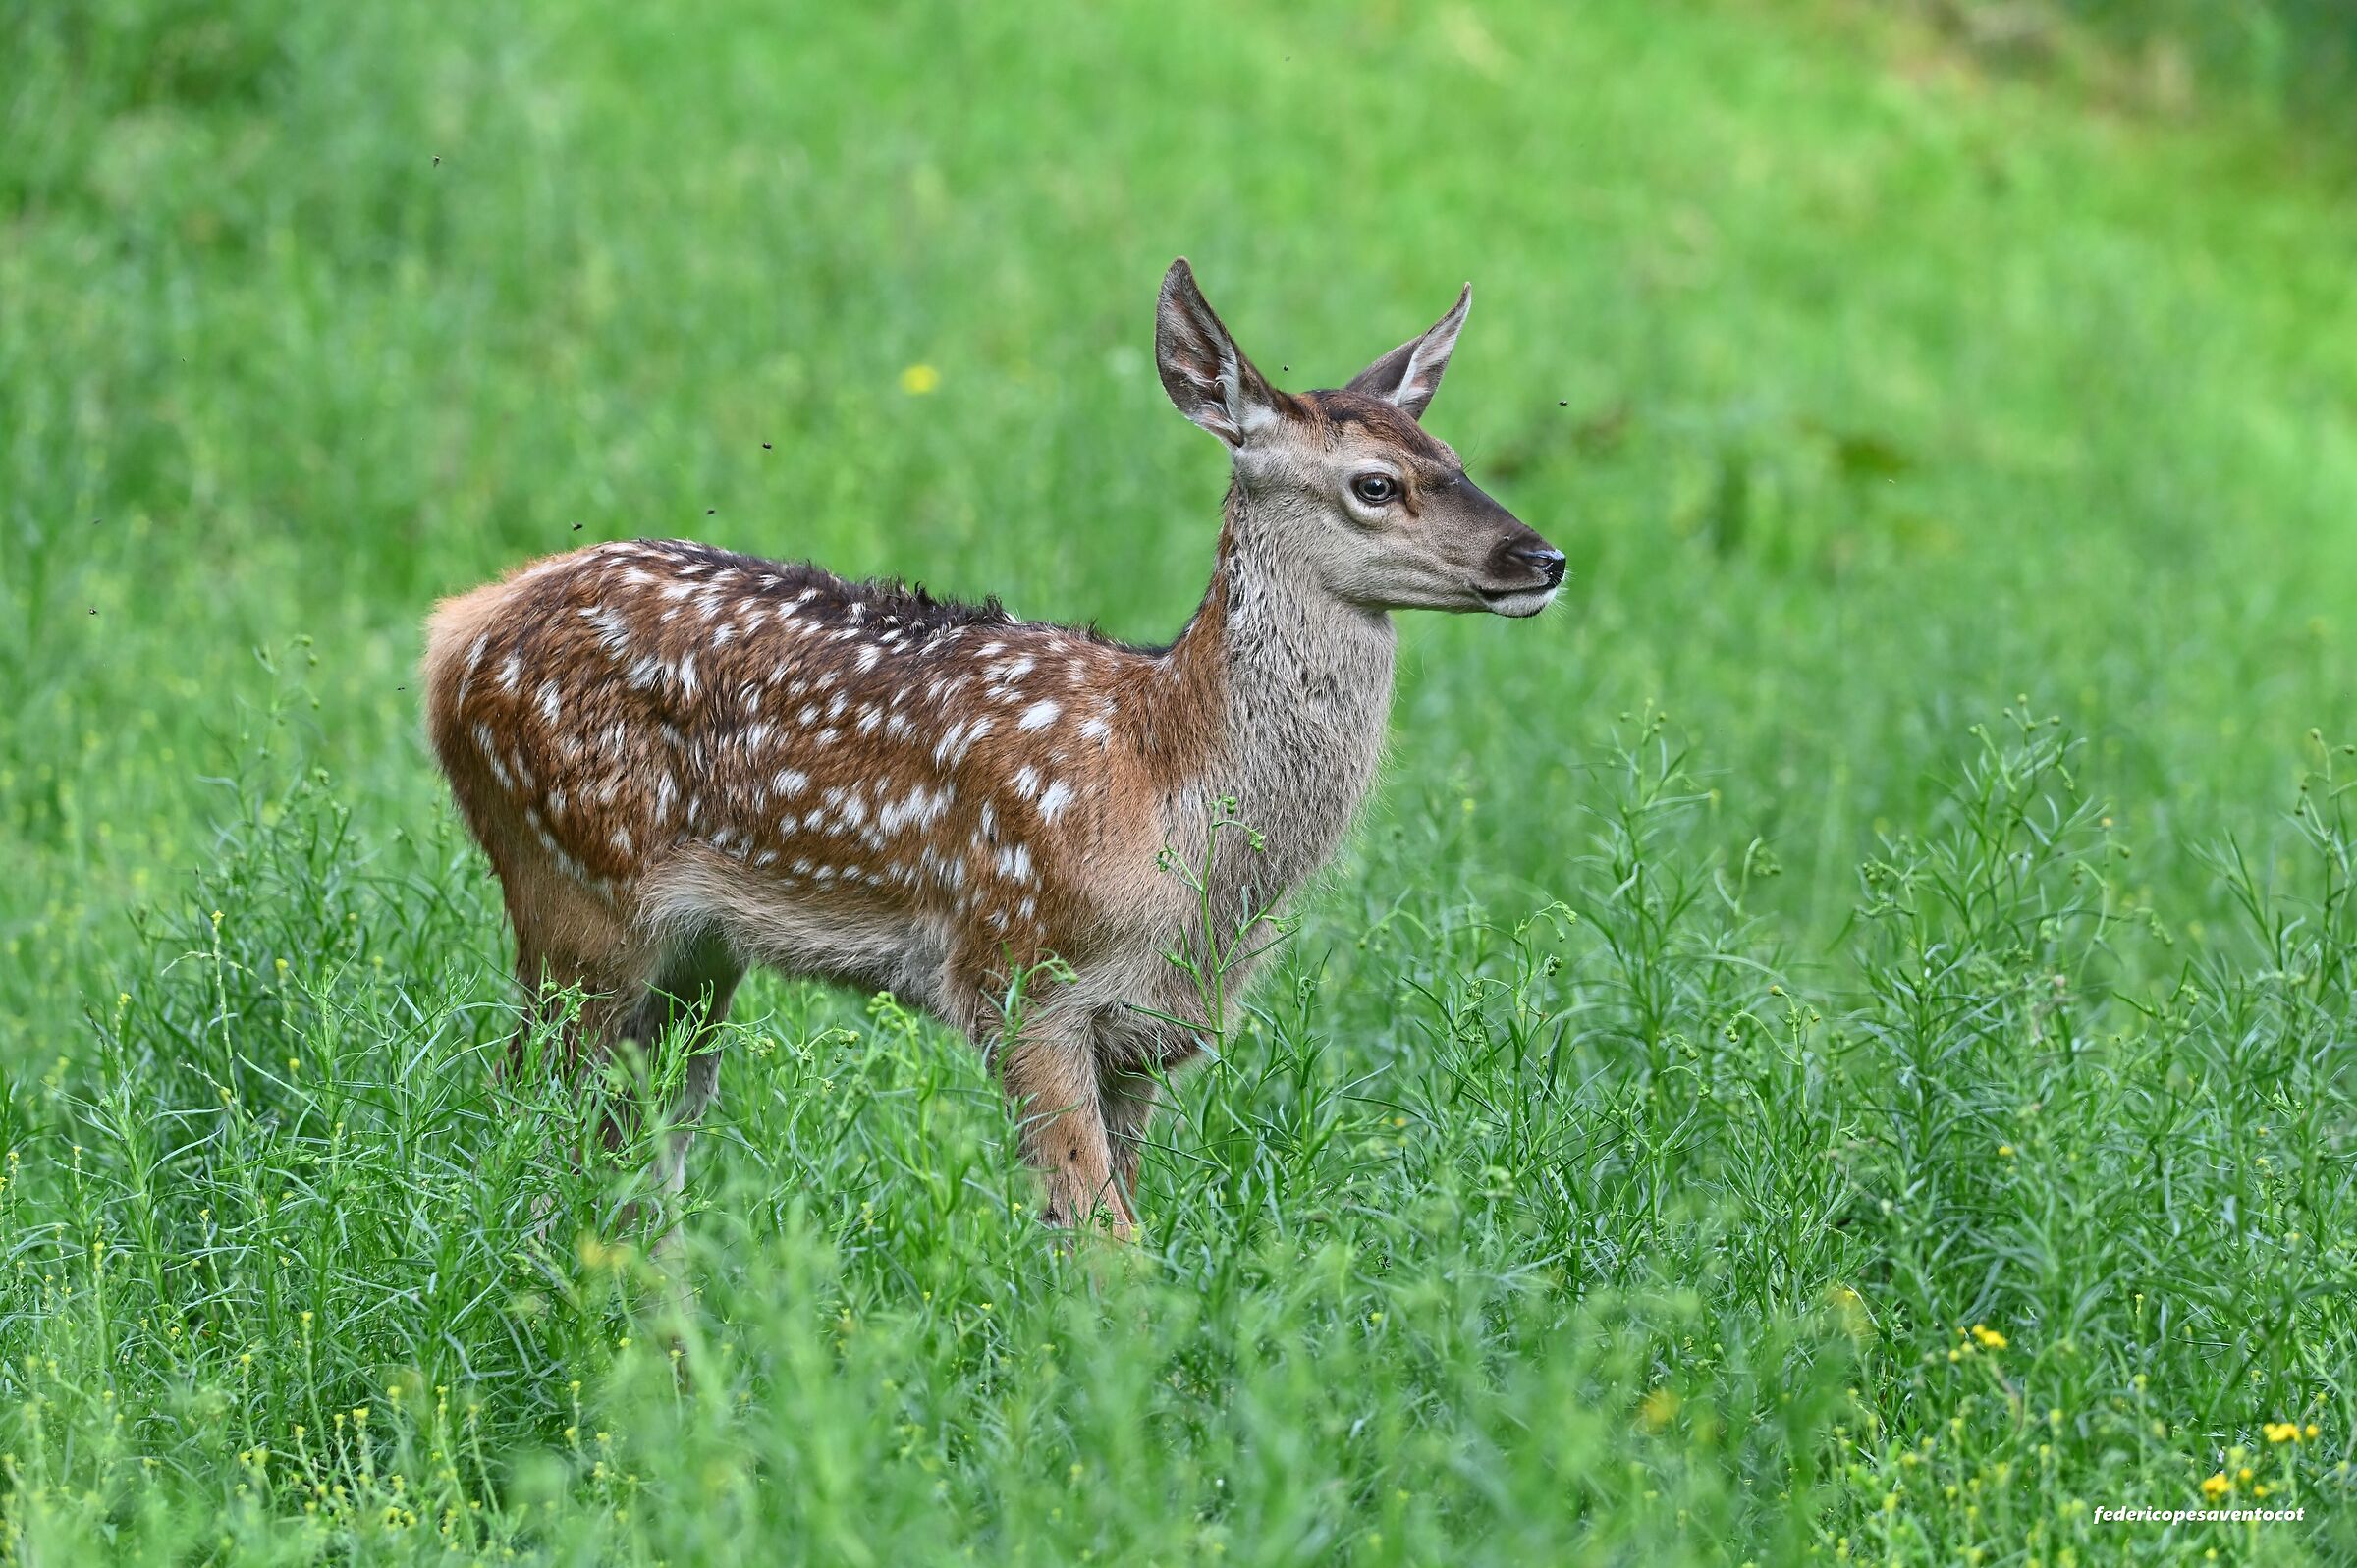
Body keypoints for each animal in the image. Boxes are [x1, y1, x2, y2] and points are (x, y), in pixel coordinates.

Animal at [422, 259, 1564, 1242]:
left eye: (1457, 463)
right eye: (1376, 484)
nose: (1542, 556)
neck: (1169, 794)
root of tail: (455, 631)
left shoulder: (1145, 1036)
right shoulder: (1018, 978)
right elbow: (1109, 1246)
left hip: (695, 953)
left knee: (637, 1150)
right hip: (573, 887)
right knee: (526, 1118)